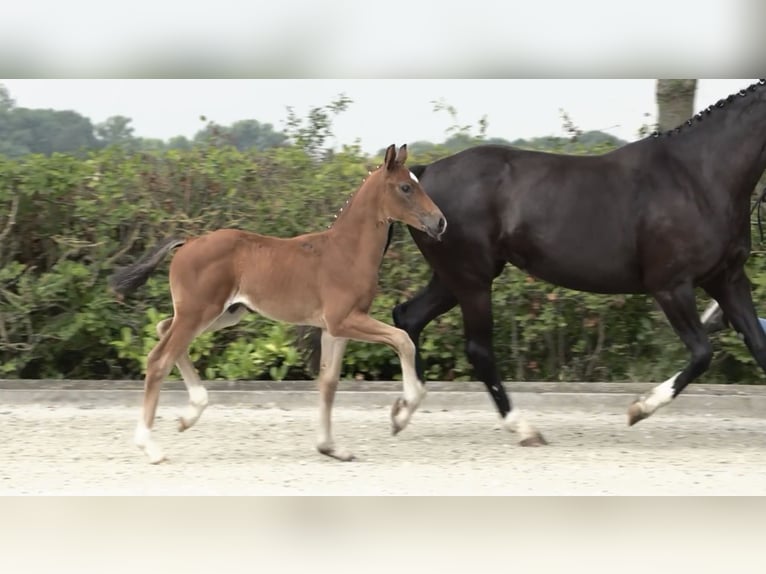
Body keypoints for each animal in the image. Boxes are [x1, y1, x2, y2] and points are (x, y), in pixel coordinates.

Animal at [110, 144, 448, 464]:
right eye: (405, 187)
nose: (440, 222)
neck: (346, 251)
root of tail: (189, 242)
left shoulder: (335, 328)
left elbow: (328, 383)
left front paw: (331, 448)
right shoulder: (344, 320)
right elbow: (402, 340)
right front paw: (402, 412)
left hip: (221, 314)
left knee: (163, 328)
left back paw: (191, 413)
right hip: (199, 313)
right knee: (158, 359)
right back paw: (151, 446)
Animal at [392, 79, 766, 446]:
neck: (697, 176)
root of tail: (423, 174)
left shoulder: (727, 280)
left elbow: (758, 343)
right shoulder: (671, 287)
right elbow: (702, 353)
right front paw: (639, 408)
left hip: (453, 278)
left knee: (408, 318)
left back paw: (404, 410)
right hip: (472, 280)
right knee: (478, 350)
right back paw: (524, 429)